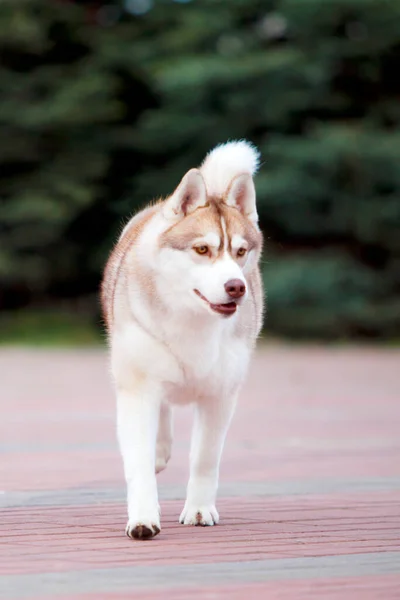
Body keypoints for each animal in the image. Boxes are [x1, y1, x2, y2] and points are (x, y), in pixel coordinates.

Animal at [101, 139, 262, 540]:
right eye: (202, 249)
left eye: (240, 251)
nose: (236, 287)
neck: (194, 321)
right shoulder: (137, 390)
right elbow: (138, 463)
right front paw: (143, 518)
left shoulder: (221, 395)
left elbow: (205, 458)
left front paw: (200, 509)